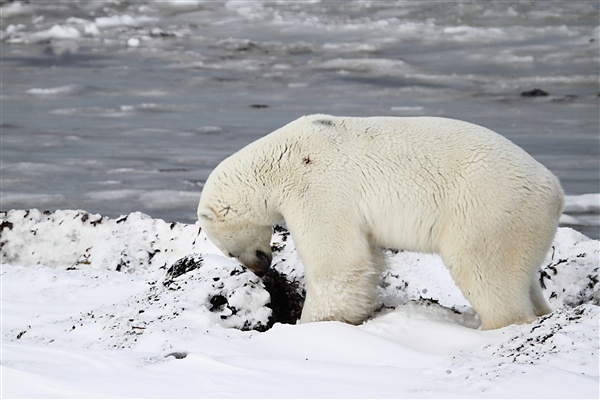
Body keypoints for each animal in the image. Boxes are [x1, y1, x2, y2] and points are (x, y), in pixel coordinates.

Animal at [197, 114, 564, 330]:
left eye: (229, 251)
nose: (260, 268)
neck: (277, 161)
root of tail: (555, 191)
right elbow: (366, 256)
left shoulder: (318, 186)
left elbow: (338, 262)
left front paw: (316, 322)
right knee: (522, 274)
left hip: (488, 209)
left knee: (485, 270)